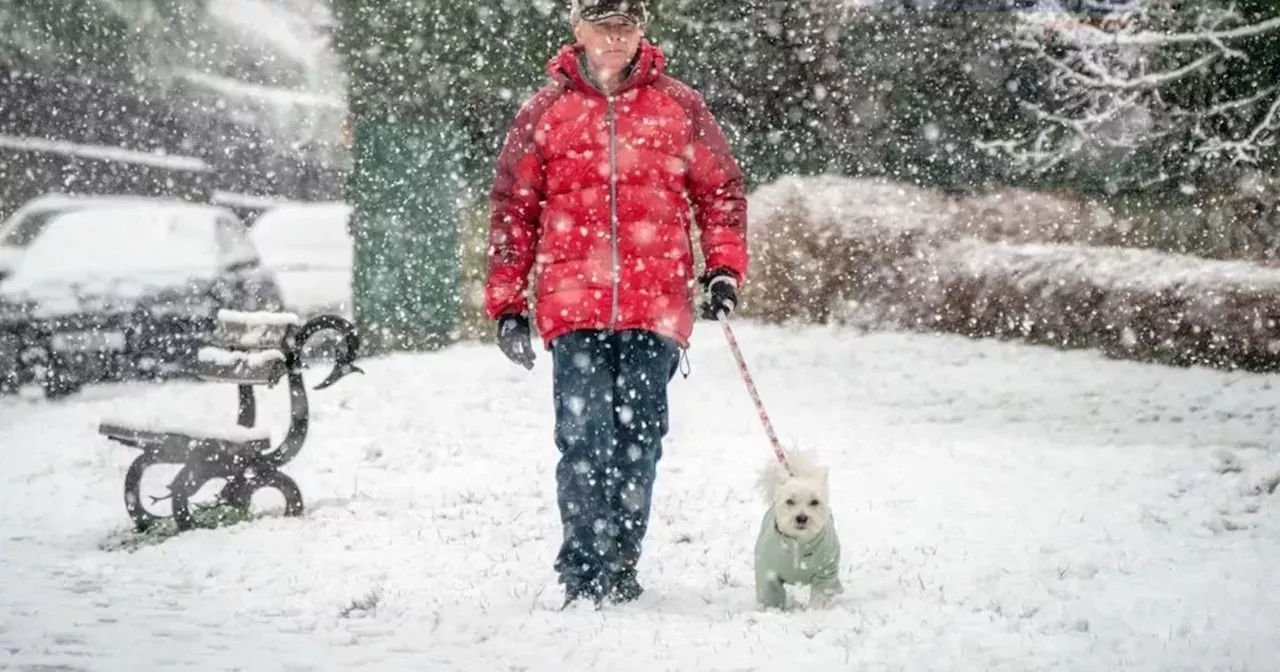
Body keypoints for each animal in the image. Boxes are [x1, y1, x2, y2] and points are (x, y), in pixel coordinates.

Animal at [747, 448, 839, 609]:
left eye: (815, 501)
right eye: (790, 501)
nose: (801, 518)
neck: (798, 543)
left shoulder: (826, 572)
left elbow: (820, 596)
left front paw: (815, 612)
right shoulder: (768, 573)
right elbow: (771, 595)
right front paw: (773, 611)